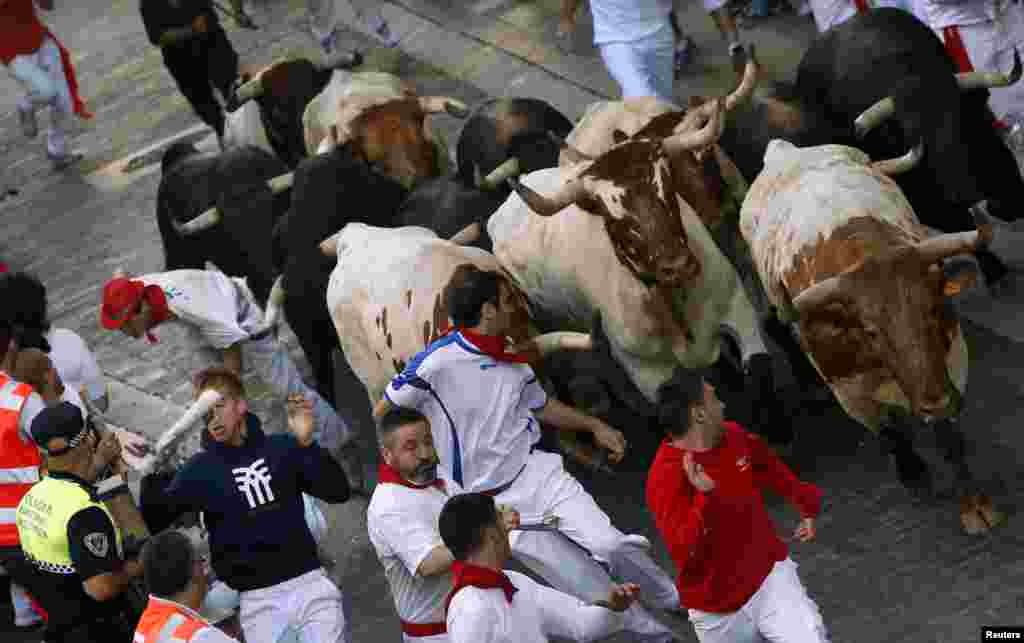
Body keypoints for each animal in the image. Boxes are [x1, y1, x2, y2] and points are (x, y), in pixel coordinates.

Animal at [741, 139, 1003, 532]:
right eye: (871, 332)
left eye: (933, 307)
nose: (936, 402)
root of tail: (783, 150)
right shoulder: (850, 395)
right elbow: (890, 432)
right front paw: (913, 473)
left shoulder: (953, 359)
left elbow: (949, 439)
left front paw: (975, 505)